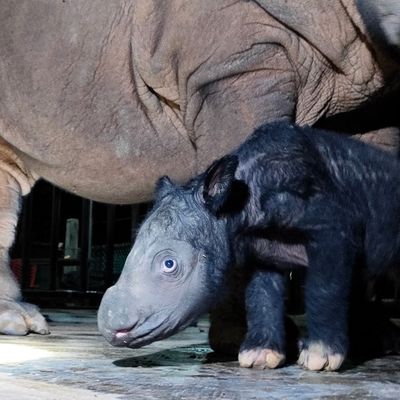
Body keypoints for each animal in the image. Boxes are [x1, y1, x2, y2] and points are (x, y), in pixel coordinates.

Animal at [98, 122, 400, 372]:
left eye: (169, 264)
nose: (110, 325)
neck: (239, 200)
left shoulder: (332, 227)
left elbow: (324, 286)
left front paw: (319, 358)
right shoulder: (261, 250)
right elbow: (261, 293)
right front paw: (259, 356)